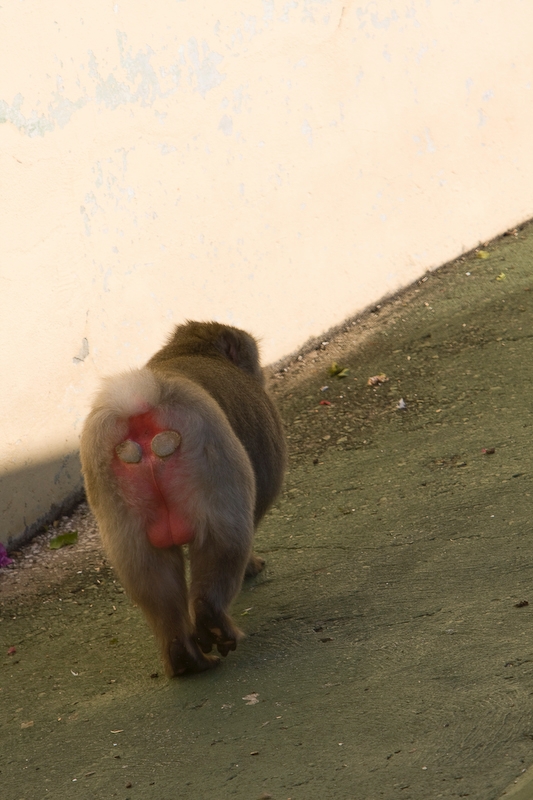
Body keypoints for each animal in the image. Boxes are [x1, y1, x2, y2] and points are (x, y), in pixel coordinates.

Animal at [80, 321, 286, 677]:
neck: (188, 350)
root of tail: (143, 405)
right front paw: (252, 565)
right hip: (210, 449)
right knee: (223, 539)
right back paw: (212, 619)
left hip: (106, 481)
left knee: (149, 573)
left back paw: (183, 653)